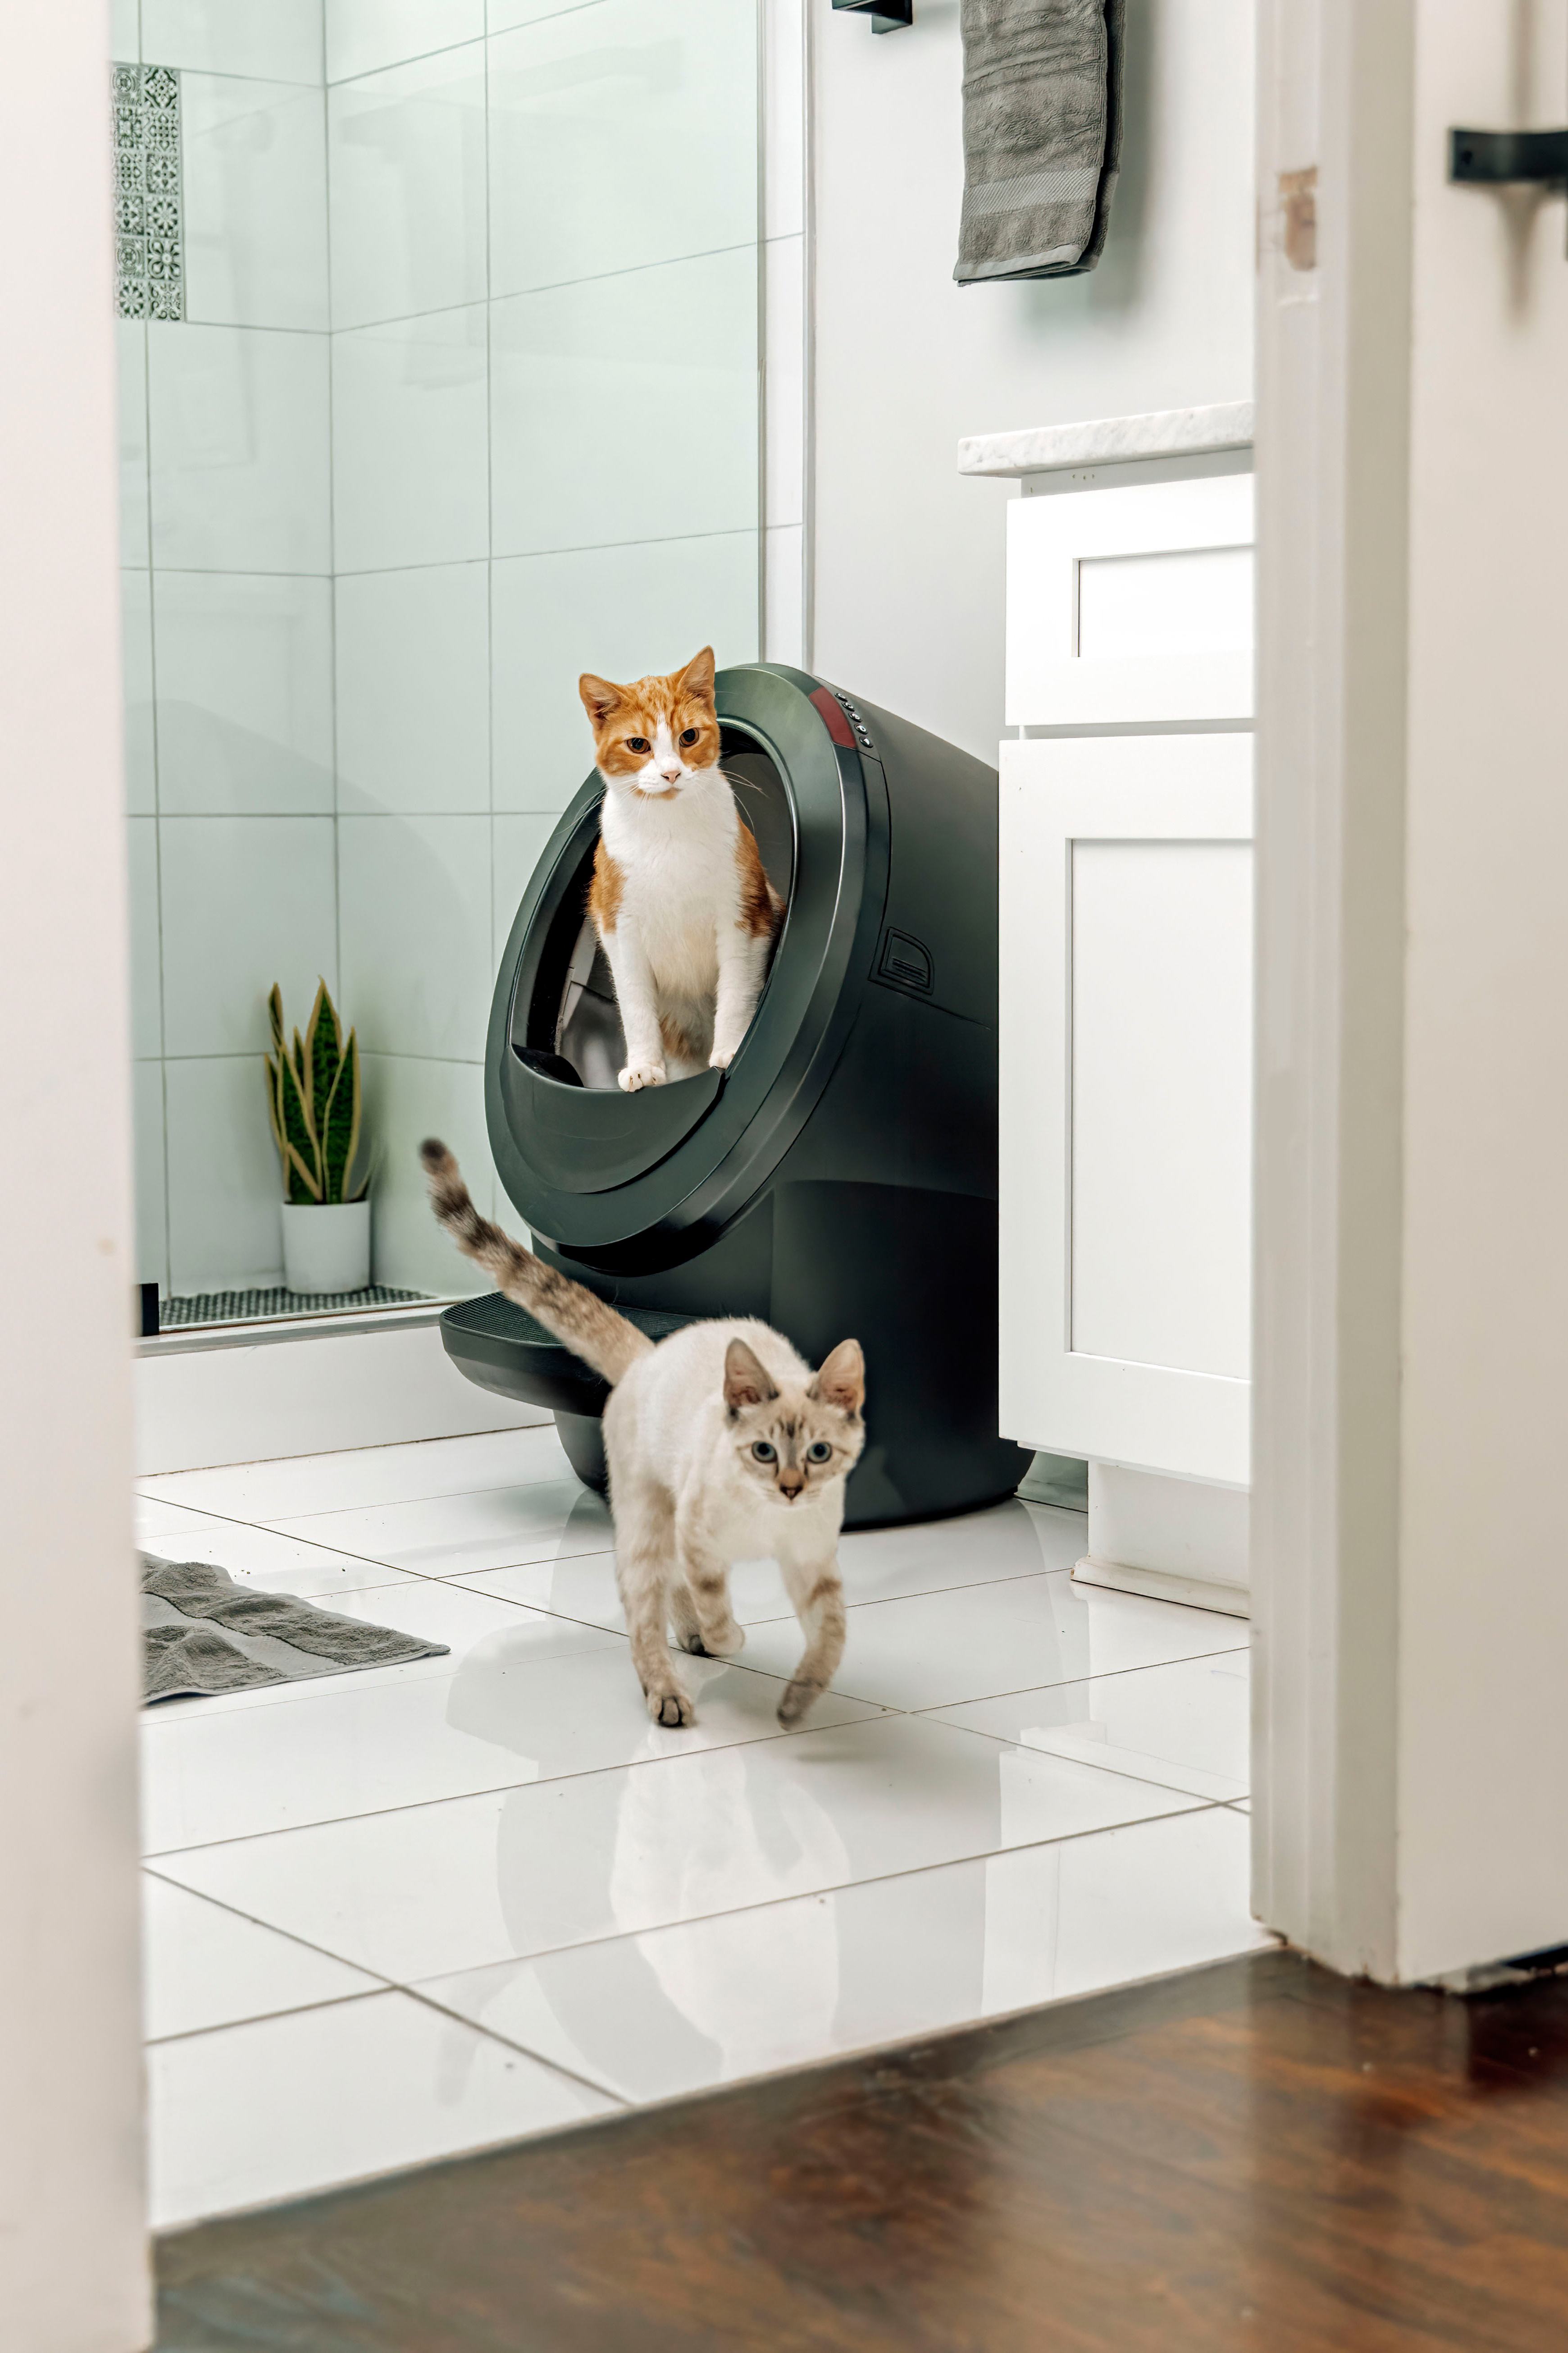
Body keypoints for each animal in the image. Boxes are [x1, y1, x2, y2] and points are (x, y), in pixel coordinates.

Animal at [423, 1138, 865, 1732]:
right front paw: (727, 1638)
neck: (768, 1520)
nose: (792, 1489)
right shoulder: (699, 1542)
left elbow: (832, 1634)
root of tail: (652, 1354)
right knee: (646, 1611)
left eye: (819, 1453)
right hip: (646, 1518)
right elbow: (712, 1602)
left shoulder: (814, 1561)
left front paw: (798, 1701)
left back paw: (692, 1644)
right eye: (764, 1451)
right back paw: (670, 1692)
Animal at [580, 649, 780, 1096]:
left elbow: (737, 989)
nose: (671, 773)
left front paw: (731, 1050)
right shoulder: (619, 926)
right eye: (638, 744)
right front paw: (643, 1067)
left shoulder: (744, 915)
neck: (669, 833)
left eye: (688, 737)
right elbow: (635, 1003)